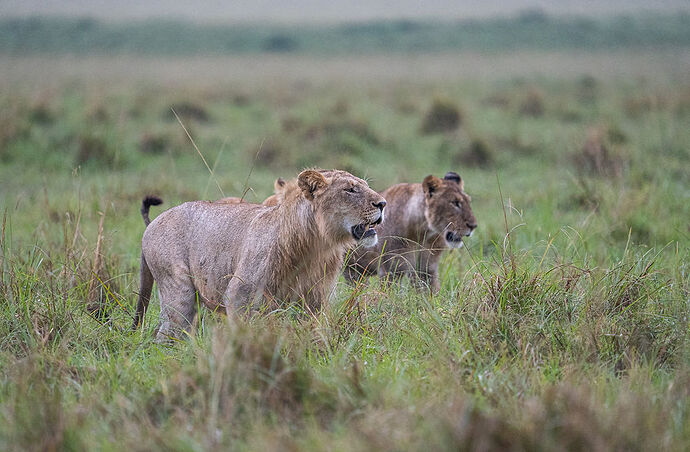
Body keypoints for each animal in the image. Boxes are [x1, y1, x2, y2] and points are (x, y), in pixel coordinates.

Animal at [131, 170, 384, 342]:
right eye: (350, 189)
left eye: (363, 185)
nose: (382, 203)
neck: (316, 247)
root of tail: (152, 224)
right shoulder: (239, 296)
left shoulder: (314, 300)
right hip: (178, 291)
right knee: (169, 333)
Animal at [342, 170, 476, 294]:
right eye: (455, 203)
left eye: (468, 201)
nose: (473, 226)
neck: (423, 233)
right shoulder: (391, 270)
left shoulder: (427, 269)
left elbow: (430, 293)